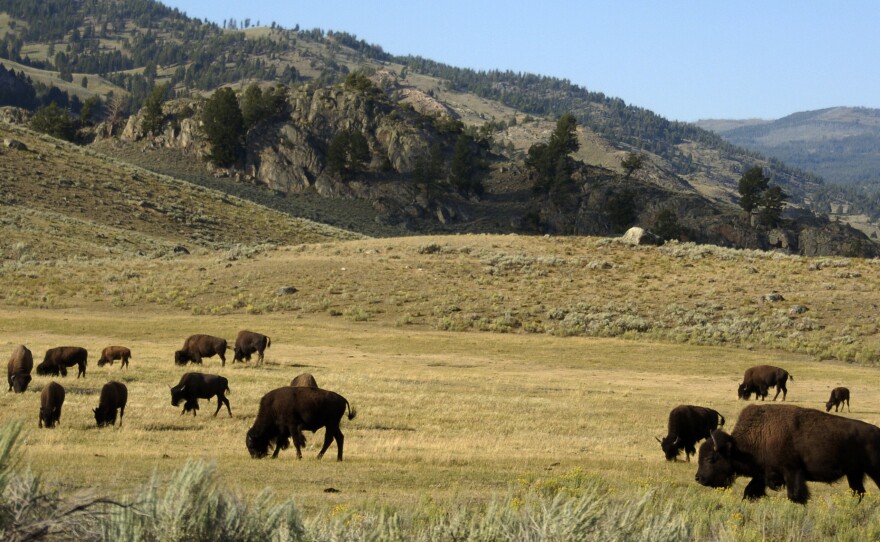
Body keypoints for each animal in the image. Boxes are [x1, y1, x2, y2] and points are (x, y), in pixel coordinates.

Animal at [695, 404, 880, 503]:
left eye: (710, 458)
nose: (698, 478)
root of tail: (877, 432)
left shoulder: (792, 471)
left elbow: (796, 496)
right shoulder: (763, 474)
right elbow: (750, 491)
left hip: (873, 471)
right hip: (854, 473)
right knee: (858, 492)